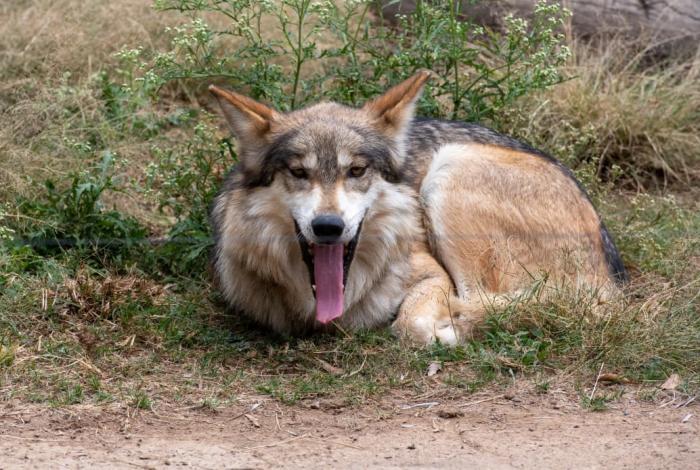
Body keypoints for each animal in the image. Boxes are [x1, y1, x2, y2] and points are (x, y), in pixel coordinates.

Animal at [208, 71, 626, 345]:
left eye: (356, 170)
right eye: (298, 172)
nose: (328, 226)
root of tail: (613, 281)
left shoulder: (433, 275)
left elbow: (411, 327)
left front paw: (441, 329)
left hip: (450, 168)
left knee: (480, 299)